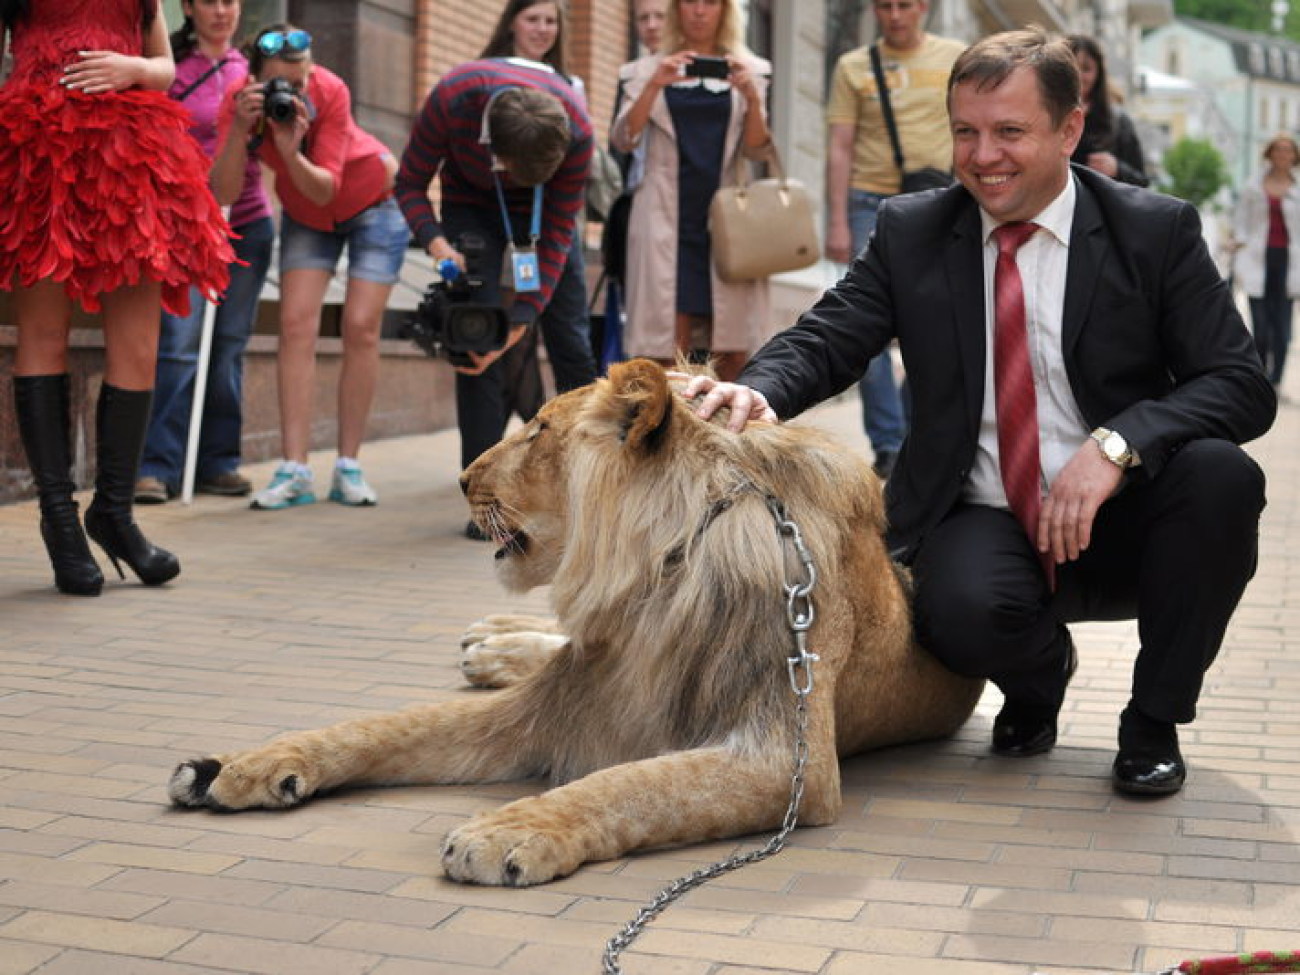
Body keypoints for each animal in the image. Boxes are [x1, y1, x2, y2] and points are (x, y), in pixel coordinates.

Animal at [167, 356, 977, 883]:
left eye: (538, 430)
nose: (461, 478)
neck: (652, 582)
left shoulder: (785, 756)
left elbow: (632, 784)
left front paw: (510, 830)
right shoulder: (555, 699)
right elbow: (385, 726)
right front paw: (243, 765)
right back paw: (491, 642)